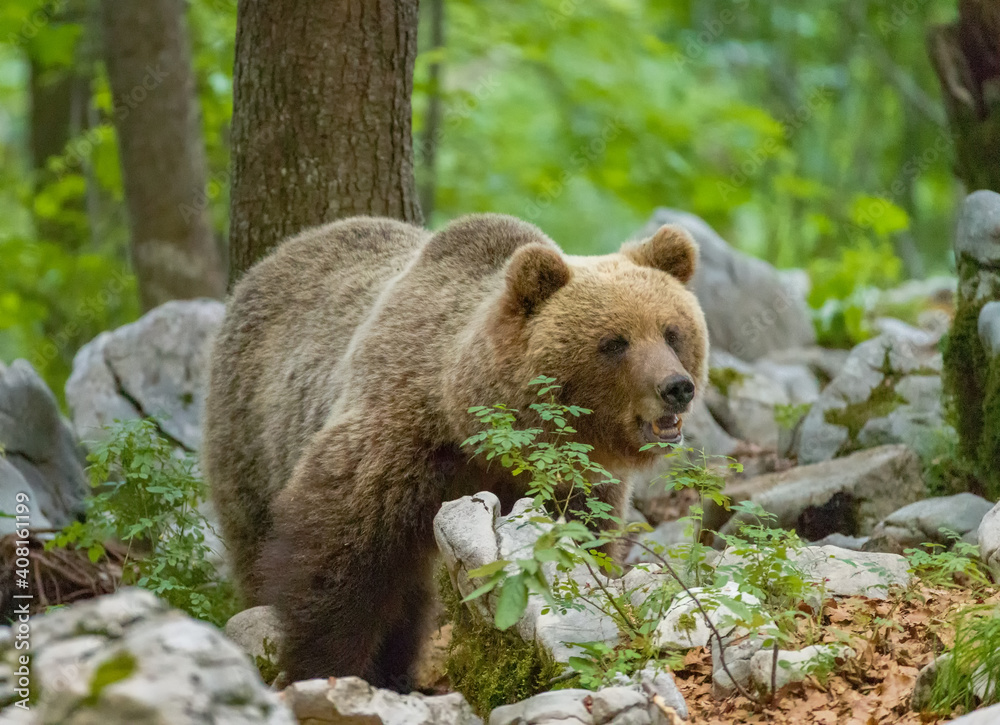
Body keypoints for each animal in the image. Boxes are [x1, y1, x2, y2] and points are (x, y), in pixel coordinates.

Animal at [203, 213, 708, 690]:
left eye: (671, 332)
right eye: (614, 342)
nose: (676, 387)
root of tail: (279, 252)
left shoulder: (570, 479)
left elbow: (586, 541)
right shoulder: (398, 442)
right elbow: (337, 556)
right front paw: (324, 667)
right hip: (250, 430)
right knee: (254, 536)